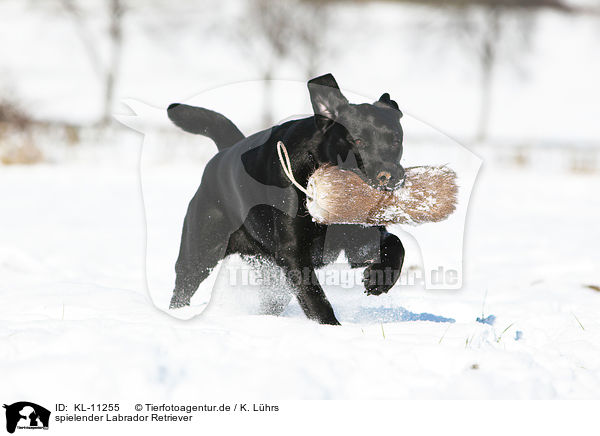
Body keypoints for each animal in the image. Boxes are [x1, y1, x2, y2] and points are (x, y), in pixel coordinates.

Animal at [166, 73, 406, 324]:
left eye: (396, 140)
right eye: (358, 141)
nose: (390, 175)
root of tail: (225, 152)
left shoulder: (357, 237)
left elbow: (395, 244)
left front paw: (380, 279)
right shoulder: (293, 251)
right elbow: (315, 296)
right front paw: (330, 326)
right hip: (200, 251)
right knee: (182, 288)